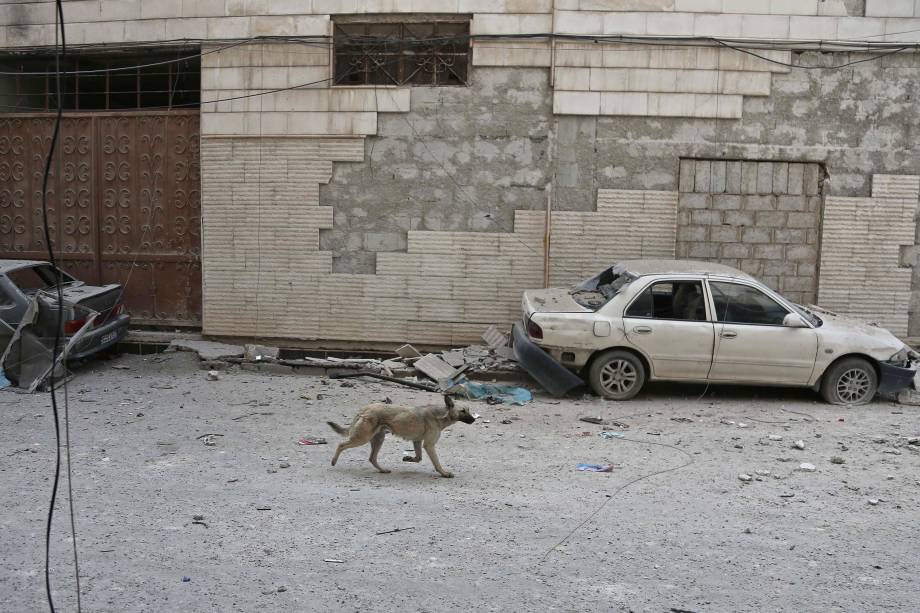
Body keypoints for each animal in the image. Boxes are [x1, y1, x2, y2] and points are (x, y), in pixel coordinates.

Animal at [328, 394, 474, 476]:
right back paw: (333, 461)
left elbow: (418, 458)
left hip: (378, 439)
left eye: (468, 410)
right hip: (362, 438)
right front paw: (444, 473)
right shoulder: (429, 445)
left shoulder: (417, 441)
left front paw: (408, 458)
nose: (473, 420)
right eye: (462, 411)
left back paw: (382, 470)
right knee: (341, 445)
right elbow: (437, 463)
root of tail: (365, 408)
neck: (441, 414)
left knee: (372, 458)